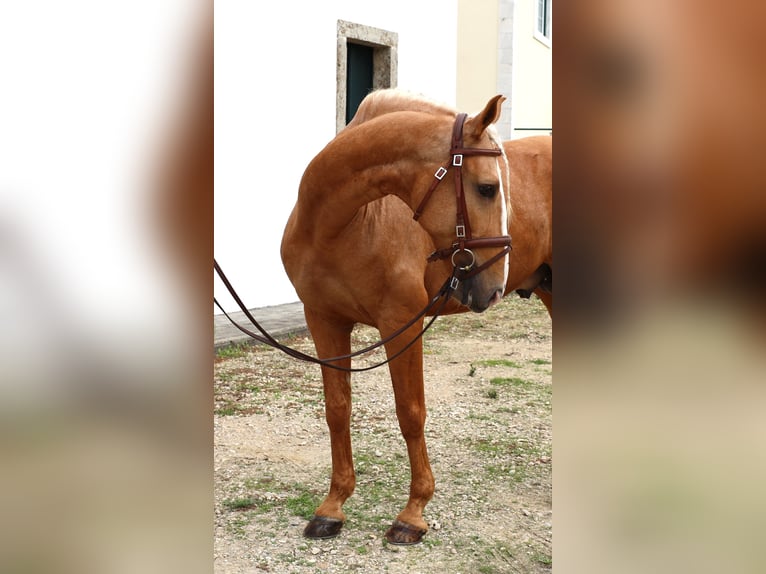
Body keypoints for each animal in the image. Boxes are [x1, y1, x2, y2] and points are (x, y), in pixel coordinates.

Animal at [282, 89, 552, 544]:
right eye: (487, 188)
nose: (495, 287)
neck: (341, 225)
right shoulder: (323, 320)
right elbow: (337, 409)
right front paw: (332, 507)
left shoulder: (400, 325)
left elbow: (410, 412)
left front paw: (412, 513)